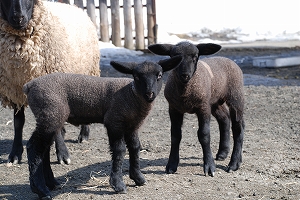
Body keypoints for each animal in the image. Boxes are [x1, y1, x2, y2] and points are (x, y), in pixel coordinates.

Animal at [0, 0, 101, 164]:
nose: (18, 18)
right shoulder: (14, 89)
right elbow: (18, 123)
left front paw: (63, 154)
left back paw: (84, 134)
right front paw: (15, 154)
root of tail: (77, 8)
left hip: (89, 72)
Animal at [22, 55, 183, 199]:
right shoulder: (114, 122)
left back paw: (51, 183)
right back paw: (41, 190)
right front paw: (118, 185)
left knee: (43, 149)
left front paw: (138, 178)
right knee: (34, 147)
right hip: (50, 114)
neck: (131, 95)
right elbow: (119, 150)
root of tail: (29, 86)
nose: (150, 94)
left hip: (50, 117)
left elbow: (135, 148)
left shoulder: (132, 126)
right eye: (137, 77)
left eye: (160, 75)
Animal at [149, 41, 245, 176]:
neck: (185, 91)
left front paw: (209, 167)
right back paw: (222, 153)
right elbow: (175, 135)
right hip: (214, 101)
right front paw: (171, 165)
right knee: (224, 119)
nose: (185, 75)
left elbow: (204, 135)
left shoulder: (203, 107)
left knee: (238, 127)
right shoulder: (174, 108)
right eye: (174, 58)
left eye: (195, 57)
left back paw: (234, 164)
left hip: (236, 96)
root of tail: (228, 60)